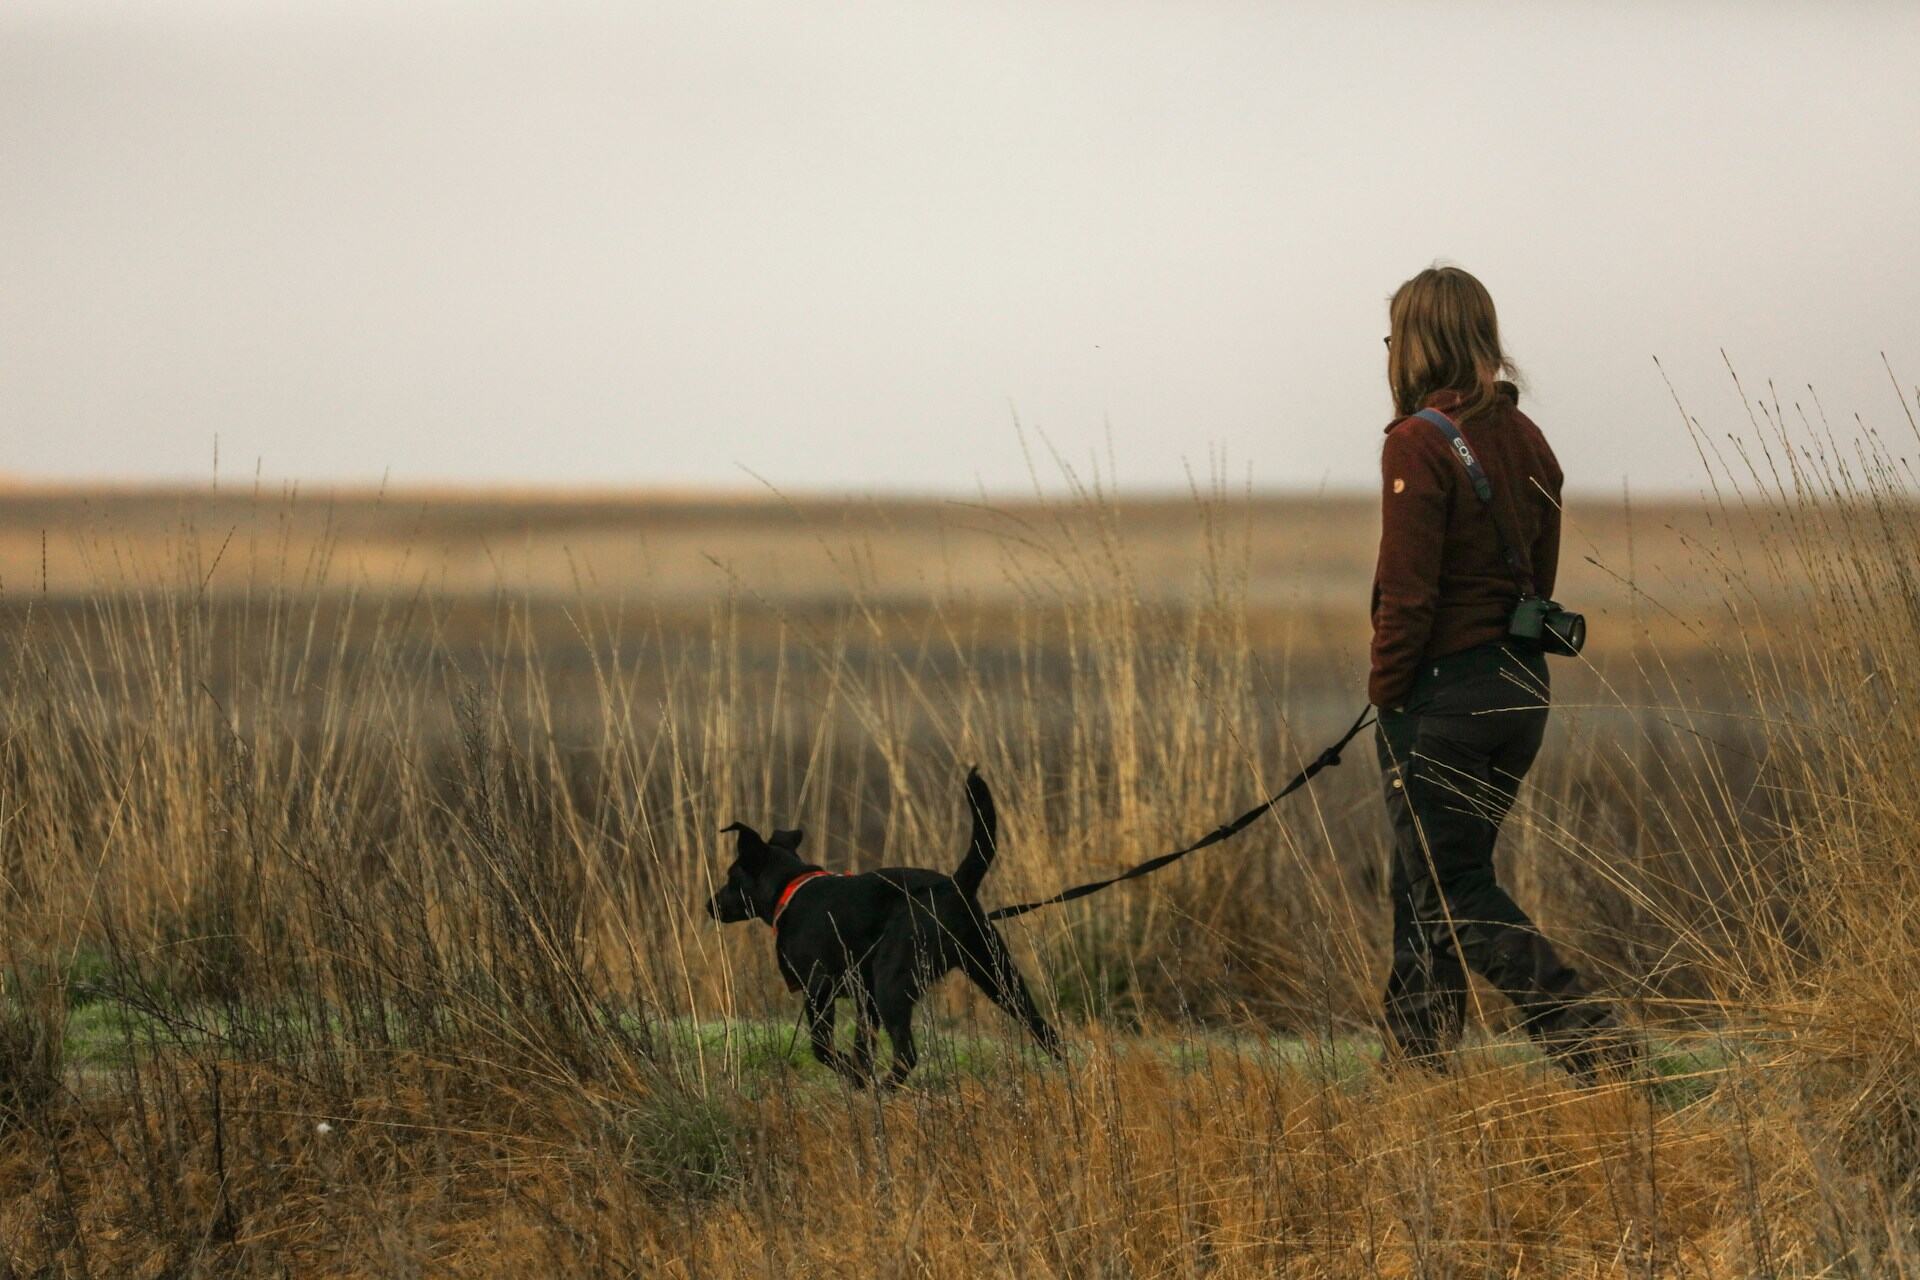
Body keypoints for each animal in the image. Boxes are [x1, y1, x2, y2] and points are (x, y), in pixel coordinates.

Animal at [706, 767, 1067, 1090]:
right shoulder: (865, 1001)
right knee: (1045, 1030)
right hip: (996, 974)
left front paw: (853, 1077)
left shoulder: (819, 987)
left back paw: (887, 1087)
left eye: (731, 876)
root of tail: (955, 886)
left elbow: (822, 1047)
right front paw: (860, 1080)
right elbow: (862, 1049)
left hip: (892, 982)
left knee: (907, 1053)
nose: (710, 904)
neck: (790, 888)